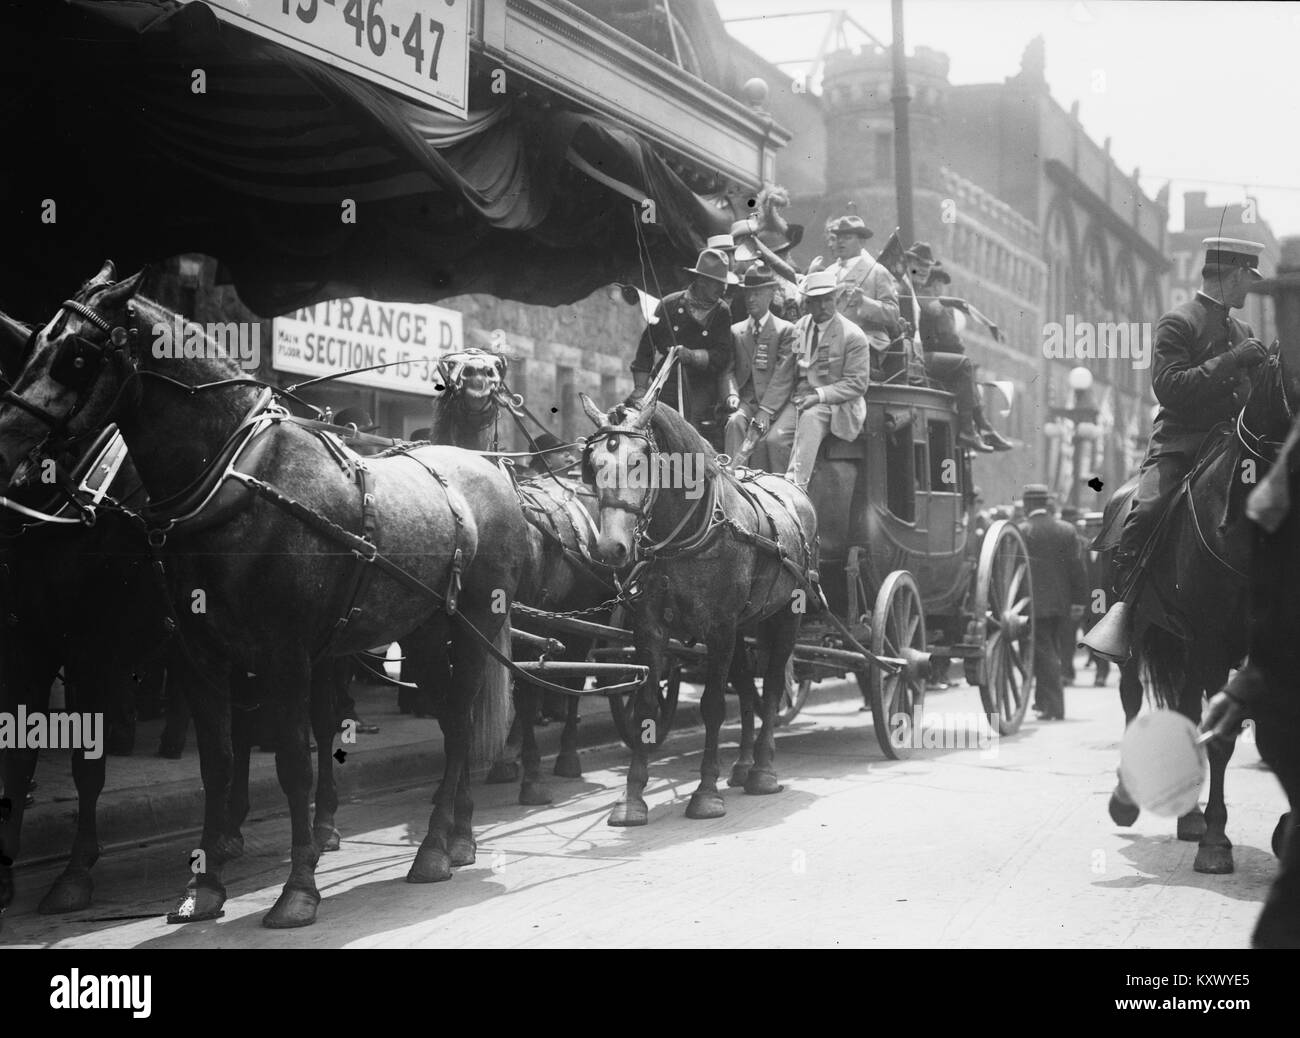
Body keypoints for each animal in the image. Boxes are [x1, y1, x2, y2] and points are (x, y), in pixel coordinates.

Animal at [0, 264, 533, 931]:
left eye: (76, 355)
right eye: (27, 344)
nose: (6, 451)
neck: (237, 480)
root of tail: (487, 466)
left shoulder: (274, 655)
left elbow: (290, 766)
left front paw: (298, 890)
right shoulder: (191, 653)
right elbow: (217, 761)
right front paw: (205, 887)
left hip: (471, 625)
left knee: (458, 723)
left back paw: (436, 845)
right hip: (423, 633)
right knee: (448, 720)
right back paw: (456, 836)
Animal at [577, 395, 811, 827]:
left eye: (638, 463)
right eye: (594, 465)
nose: (611, 549)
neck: (687, 535)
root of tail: (792, 487)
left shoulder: (719, 628)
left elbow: (714, 707)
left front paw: (705, 794)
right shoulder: (651, 628)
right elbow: (647, 707)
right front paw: (632, 798)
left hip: (787, 615)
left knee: (771, 687)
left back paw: (763, 770)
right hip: (743, 627)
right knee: (748, 690)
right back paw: (742, 765)